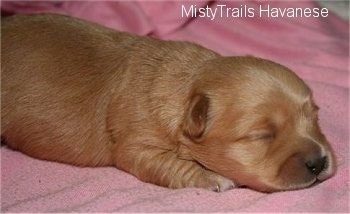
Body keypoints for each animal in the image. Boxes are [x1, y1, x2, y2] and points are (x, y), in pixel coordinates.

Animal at [1, 14, 334, 193]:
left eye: (315, 117)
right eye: (261, 136)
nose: (318, 162)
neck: (187, 86)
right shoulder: (136, 145)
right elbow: (171, 163)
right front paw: (212, 176)